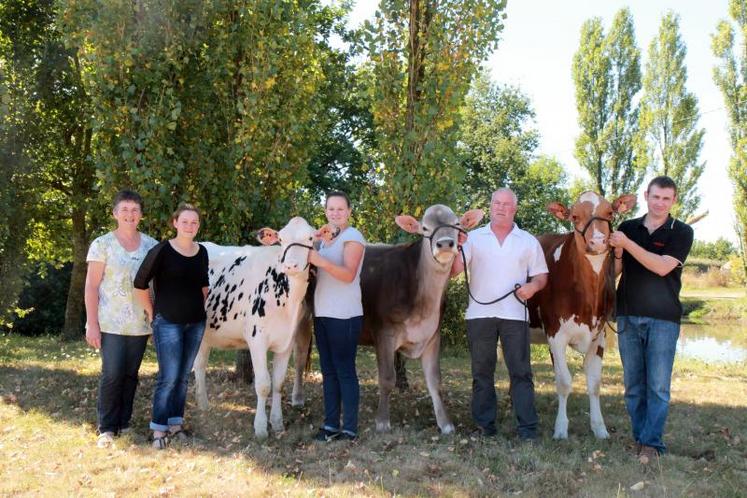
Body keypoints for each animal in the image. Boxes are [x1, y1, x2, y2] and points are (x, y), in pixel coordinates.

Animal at [194, 218, 334, 440]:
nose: (290, 265)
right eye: (281, 239)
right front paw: (260, 427)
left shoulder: (287, 341)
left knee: (199, 365)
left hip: (206, 334)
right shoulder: (256, 340)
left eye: (310, 238)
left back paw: (203, 405)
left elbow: (278, 383)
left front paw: (277, 423)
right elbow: (263, 384)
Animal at [296, 204, 482, 434]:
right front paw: (383, 421)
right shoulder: (384, 333)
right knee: (299, 354)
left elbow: (435, 380)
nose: (445, 243)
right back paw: (298, 399)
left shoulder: (432, 335)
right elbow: (386, 378)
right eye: (425, 228)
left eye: (457, 224)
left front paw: (446, 424)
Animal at [524, 191, 636, 440]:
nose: (598, 241)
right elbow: (564, 382)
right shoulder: (556, 336)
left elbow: (594, 384)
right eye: (574, 216)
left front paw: (599, 428)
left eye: (610, 212)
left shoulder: (599, 337)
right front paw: (560, 429)